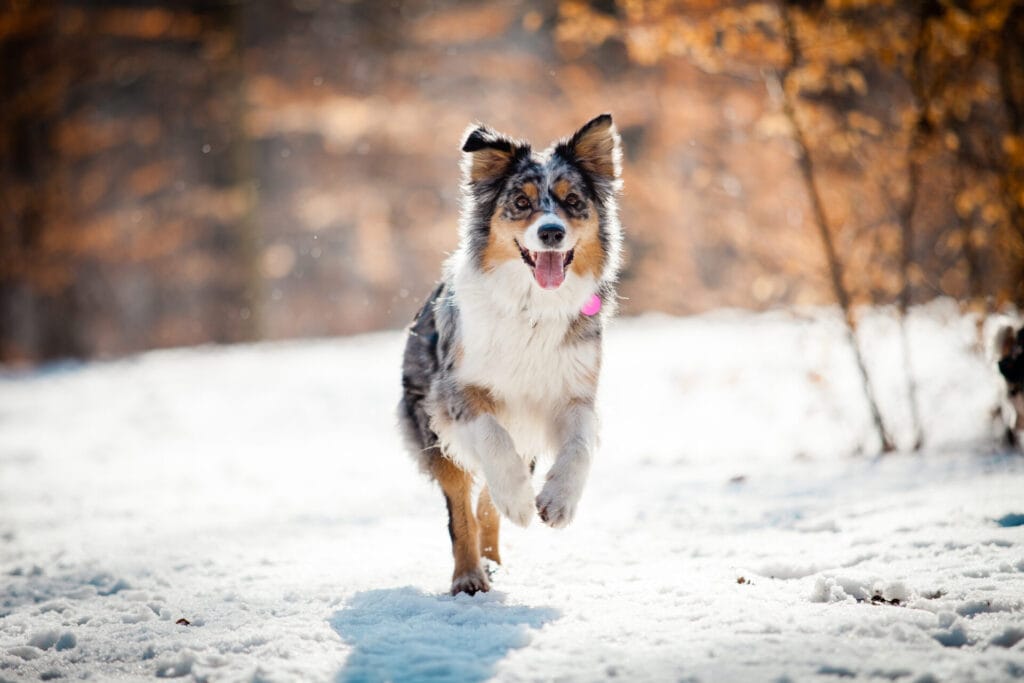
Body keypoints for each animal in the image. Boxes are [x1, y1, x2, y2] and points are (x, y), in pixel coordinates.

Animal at [399, 114, 622, 593]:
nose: (551, 232)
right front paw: (519, 500)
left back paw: (493, 558)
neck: (532, 309)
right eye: (521, 202)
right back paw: (470, 576)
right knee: (462, 507)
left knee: (486, 502)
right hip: (429, 428)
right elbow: (491, 437)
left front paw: (558, 501)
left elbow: (580, 445)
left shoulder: (572, 395)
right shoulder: (454, 394)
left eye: (572, 201)